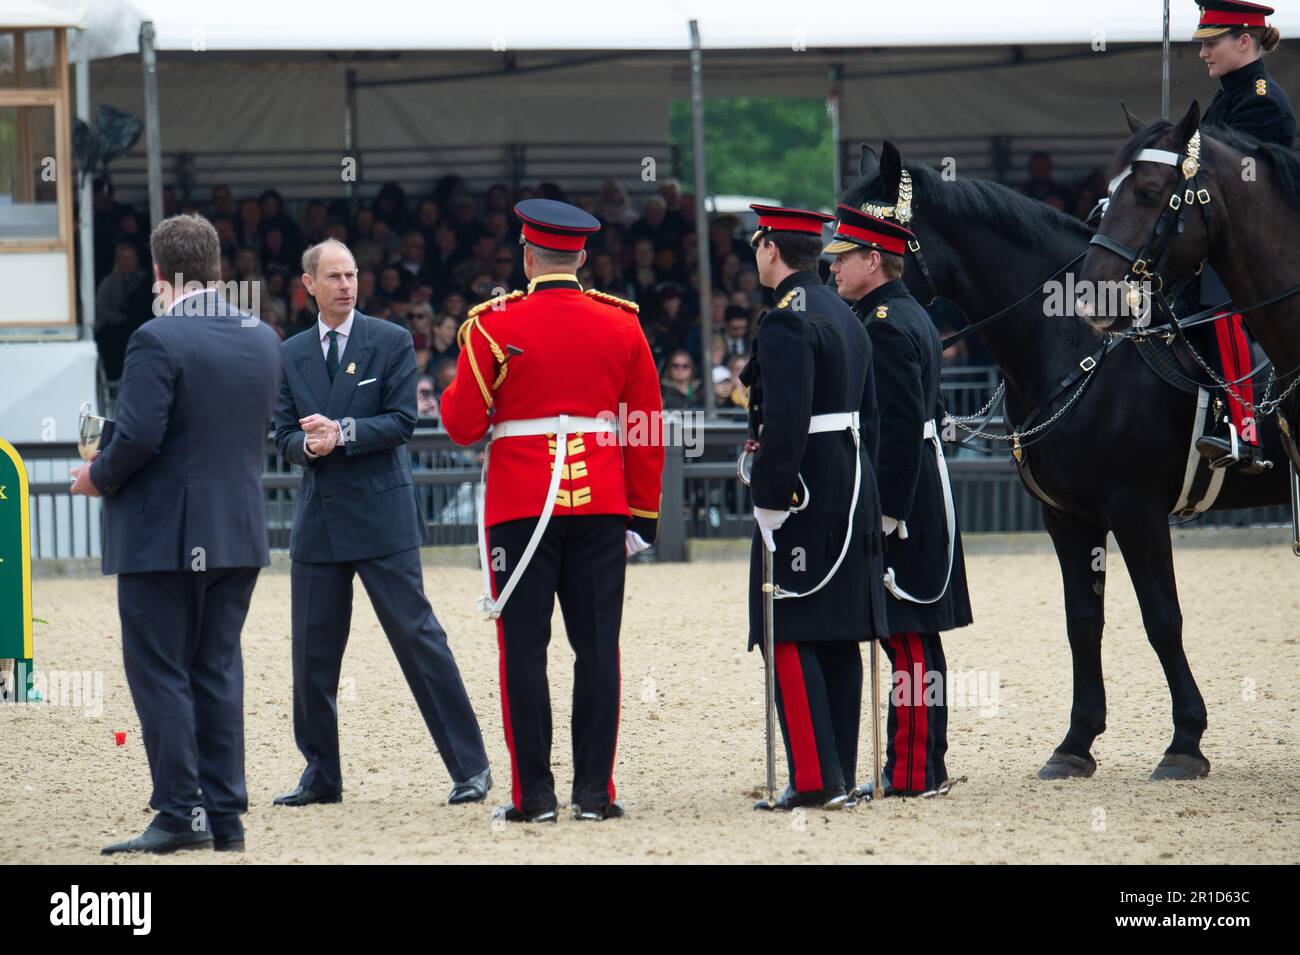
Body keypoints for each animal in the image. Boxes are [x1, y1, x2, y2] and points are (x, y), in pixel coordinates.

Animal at [842, 143, 1289, 784]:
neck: (1077, 346)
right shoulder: (1069, 517)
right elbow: (1082, 622)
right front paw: (1076, 743)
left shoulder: (1136, 510)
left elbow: (1161, 617)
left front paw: (1185, 742)